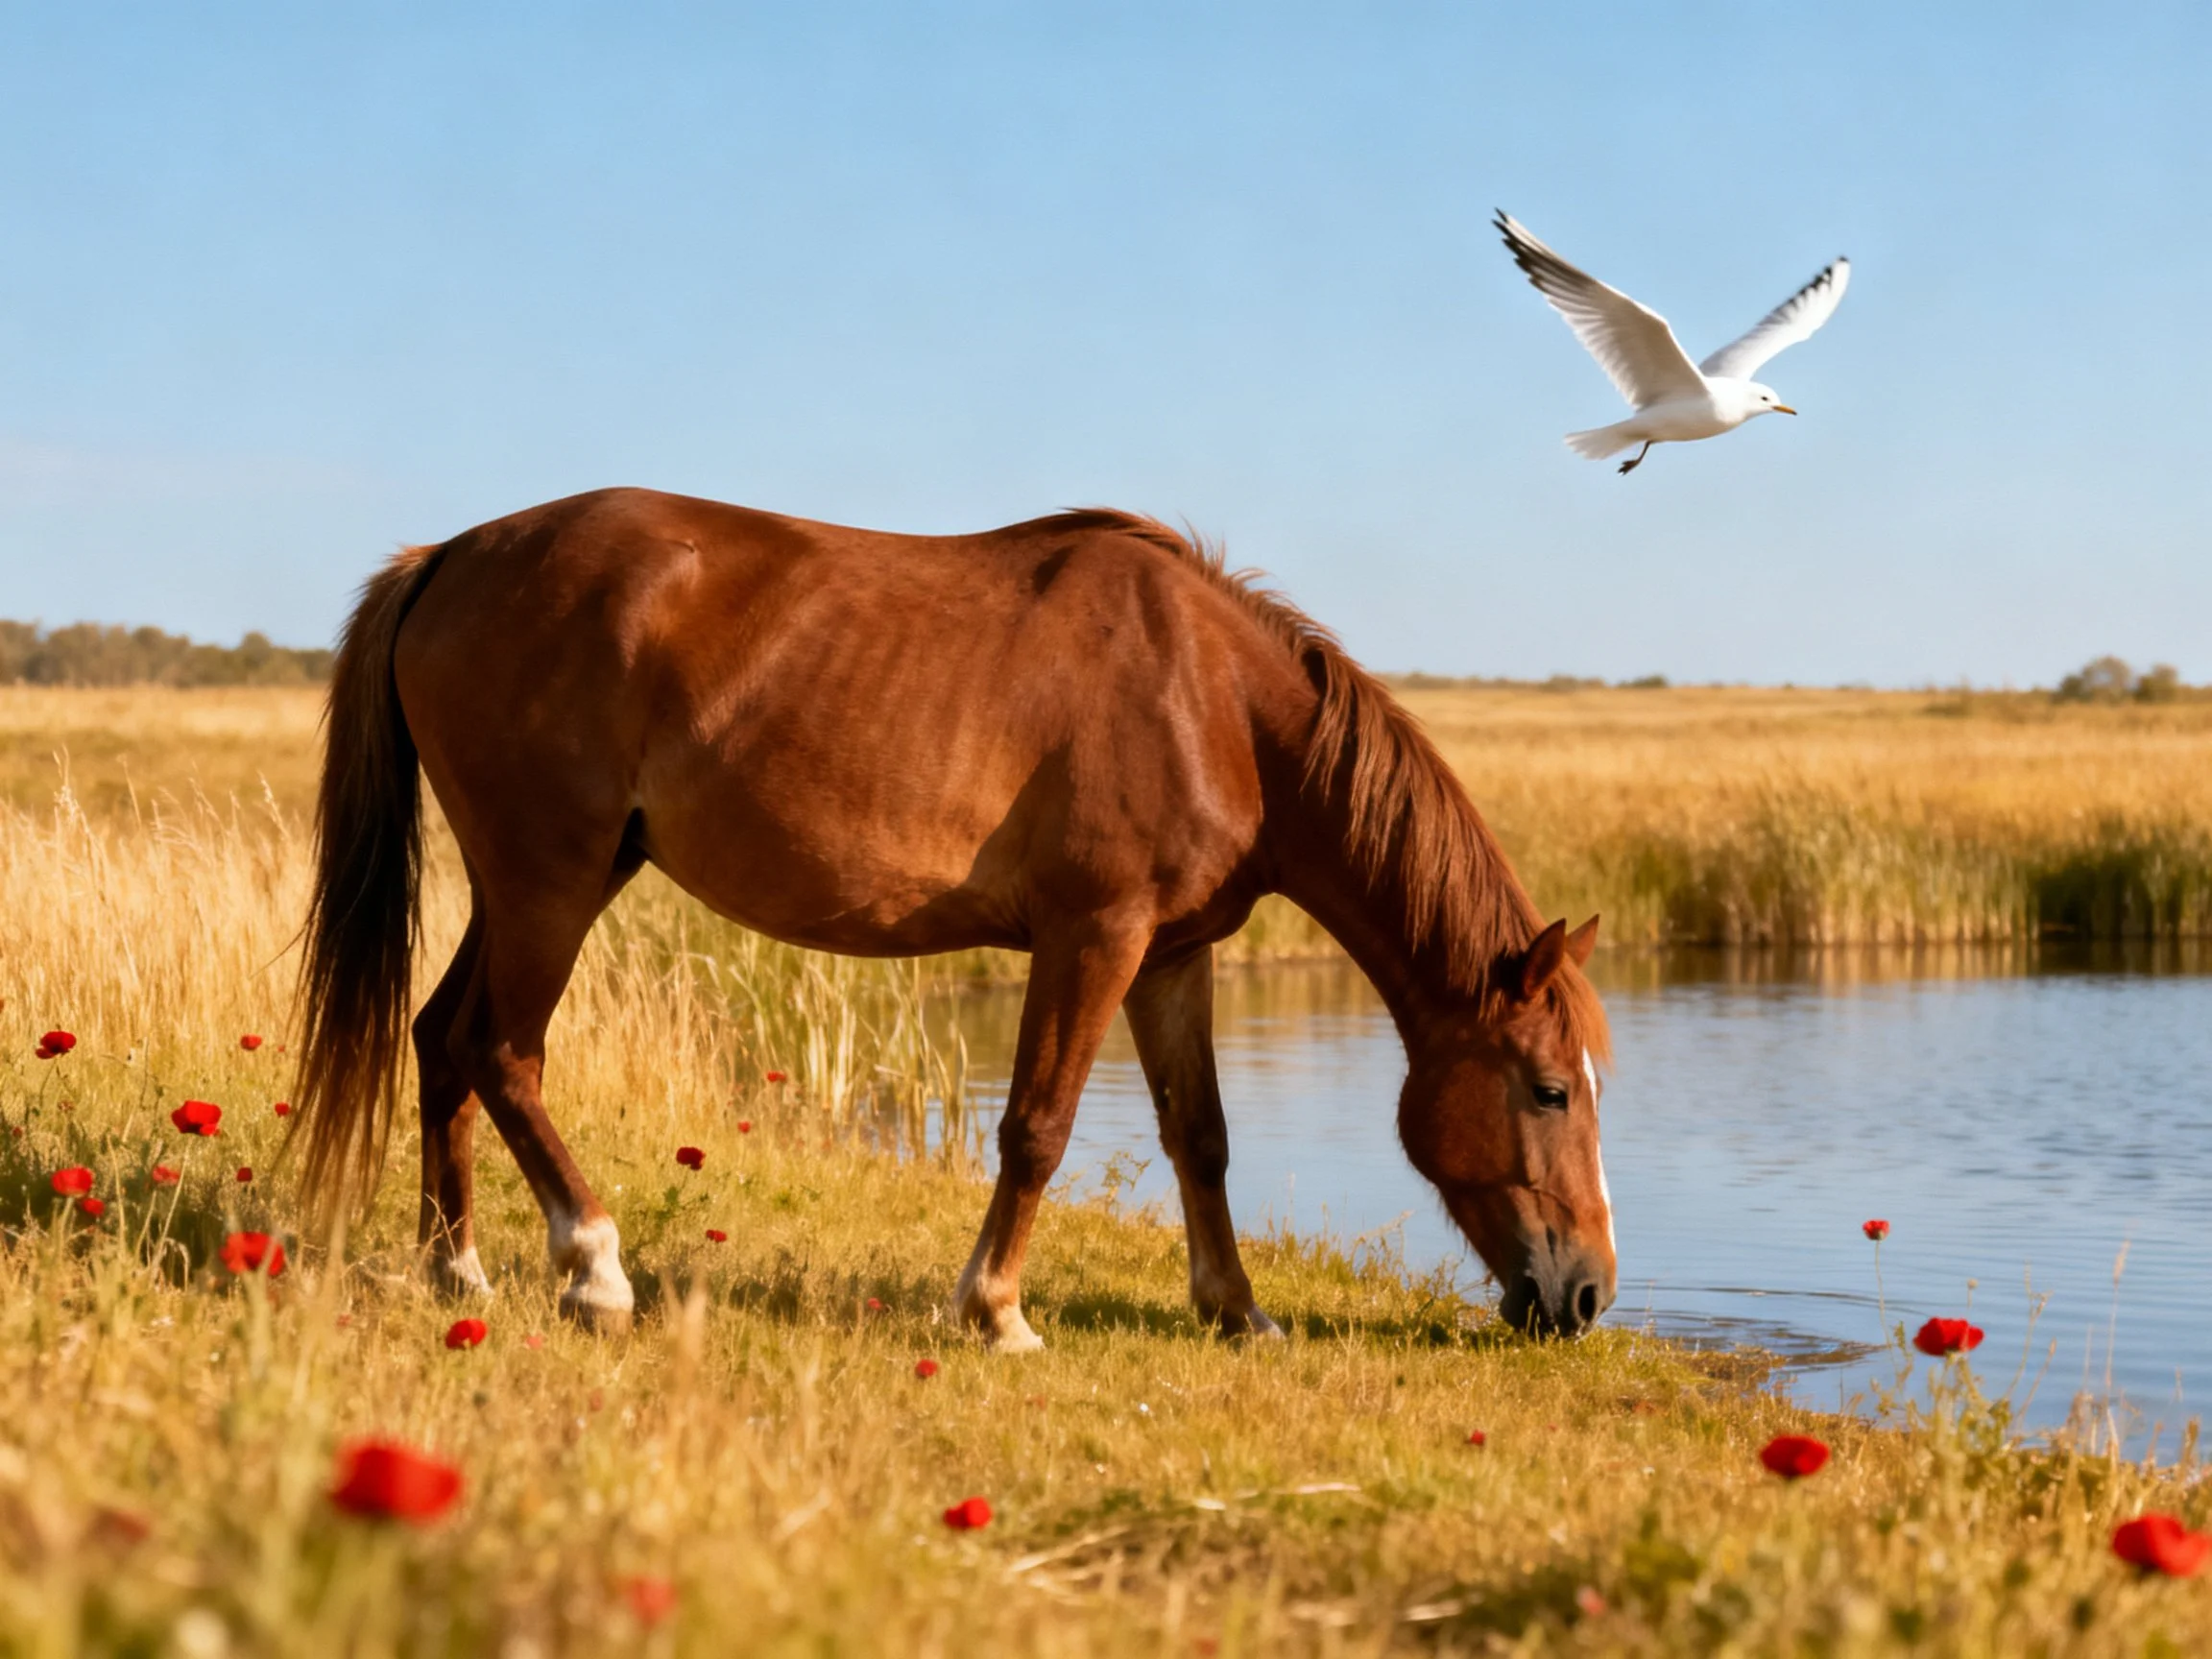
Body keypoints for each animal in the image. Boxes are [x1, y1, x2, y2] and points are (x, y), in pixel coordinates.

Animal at [294, 488, 1616, 1344]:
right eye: (1550, 1090)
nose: (1590, 1294)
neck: (1216, 703)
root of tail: (451, 555)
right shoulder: (1093, 939)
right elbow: (1036, 1128)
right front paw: (995, 1310)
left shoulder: (1171, 960)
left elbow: (1203, 1137)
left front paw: (1237, 1310)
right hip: (550, 883)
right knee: (501, 1053)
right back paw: (595, 1271)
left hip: (545, 881)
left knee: (440, 1041)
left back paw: (456, 1270)